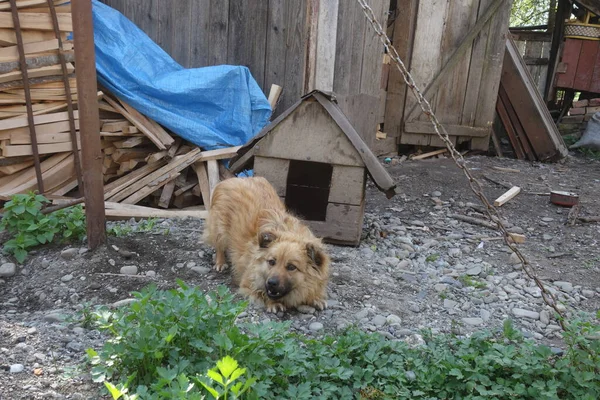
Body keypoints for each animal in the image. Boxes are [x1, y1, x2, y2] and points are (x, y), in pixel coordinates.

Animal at [204, 177, 330, 312]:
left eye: (291, 267)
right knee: (219, 246)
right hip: (219, 230)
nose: (271, 282)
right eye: (271, 262)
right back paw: (220, 262)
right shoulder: (247, 284)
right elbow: (262, 292)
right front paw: (273, 303)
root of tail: (233, 179)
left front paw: (316, 297)